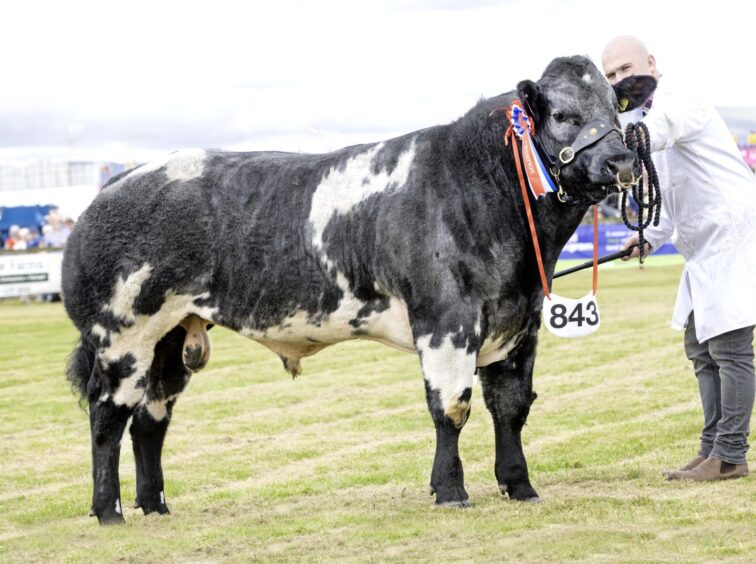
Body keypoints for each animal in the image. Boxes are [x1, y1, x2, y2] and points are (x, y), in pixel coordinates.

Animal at [62, 55, 636, 524]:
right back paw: (108, 511)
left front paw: (520, 486)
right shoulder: (446, 322)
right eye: (561, 115)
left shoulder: (519, 323)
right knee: (107, 417)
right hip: (122, 337)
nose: (622, 162)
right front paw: (451, 491)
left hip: (170, 338)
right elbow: (451, 408)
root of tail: (112, 188)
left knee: (149, 419)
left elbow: (512, 407)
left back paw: (155, 505)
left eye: (617, 110)